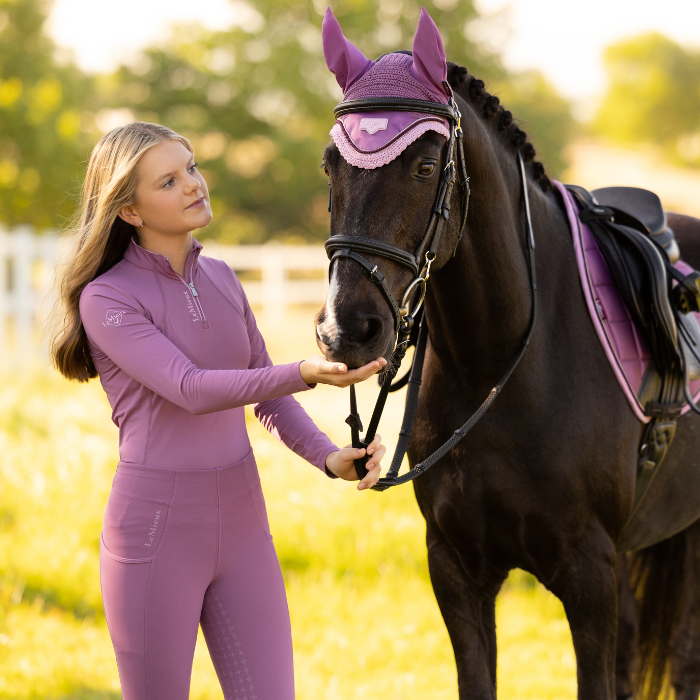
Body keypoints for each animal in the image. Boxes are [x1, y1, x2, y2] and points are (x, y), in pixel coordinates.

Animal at [314, 29, 700, 700]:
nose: (347, 330)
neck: (496, 367)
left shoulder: (588, 577)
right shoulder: (456, 569)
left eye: (424, 167)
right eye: (330, 166)